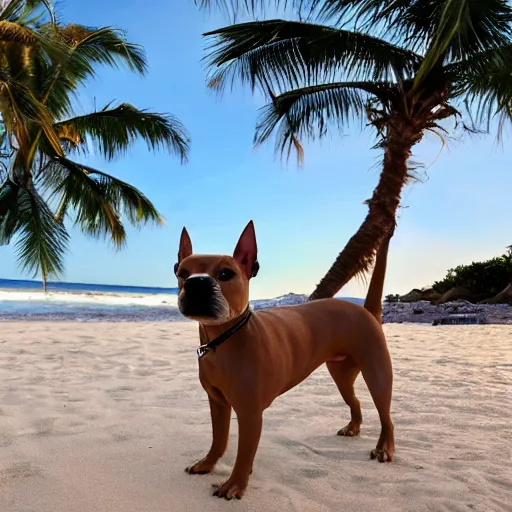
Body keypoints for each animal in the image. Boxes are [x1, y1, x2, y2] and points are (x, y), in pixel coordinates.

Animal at [176, 221, 396, 500]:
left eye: (226, 274)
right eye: (182, 272)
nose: (196, 283)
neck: (224, 339)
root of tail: (365, 310)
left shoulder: (249, 413)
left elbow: (244, 453)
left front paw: (235, 484)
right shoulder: (217, 403)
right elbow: (219, 439)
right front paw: (207, 464)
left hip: (377, 373)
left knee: (386, 415)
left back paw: (385, 448)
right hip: (341, 375)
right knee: (354, 400)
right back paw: (353, 428)